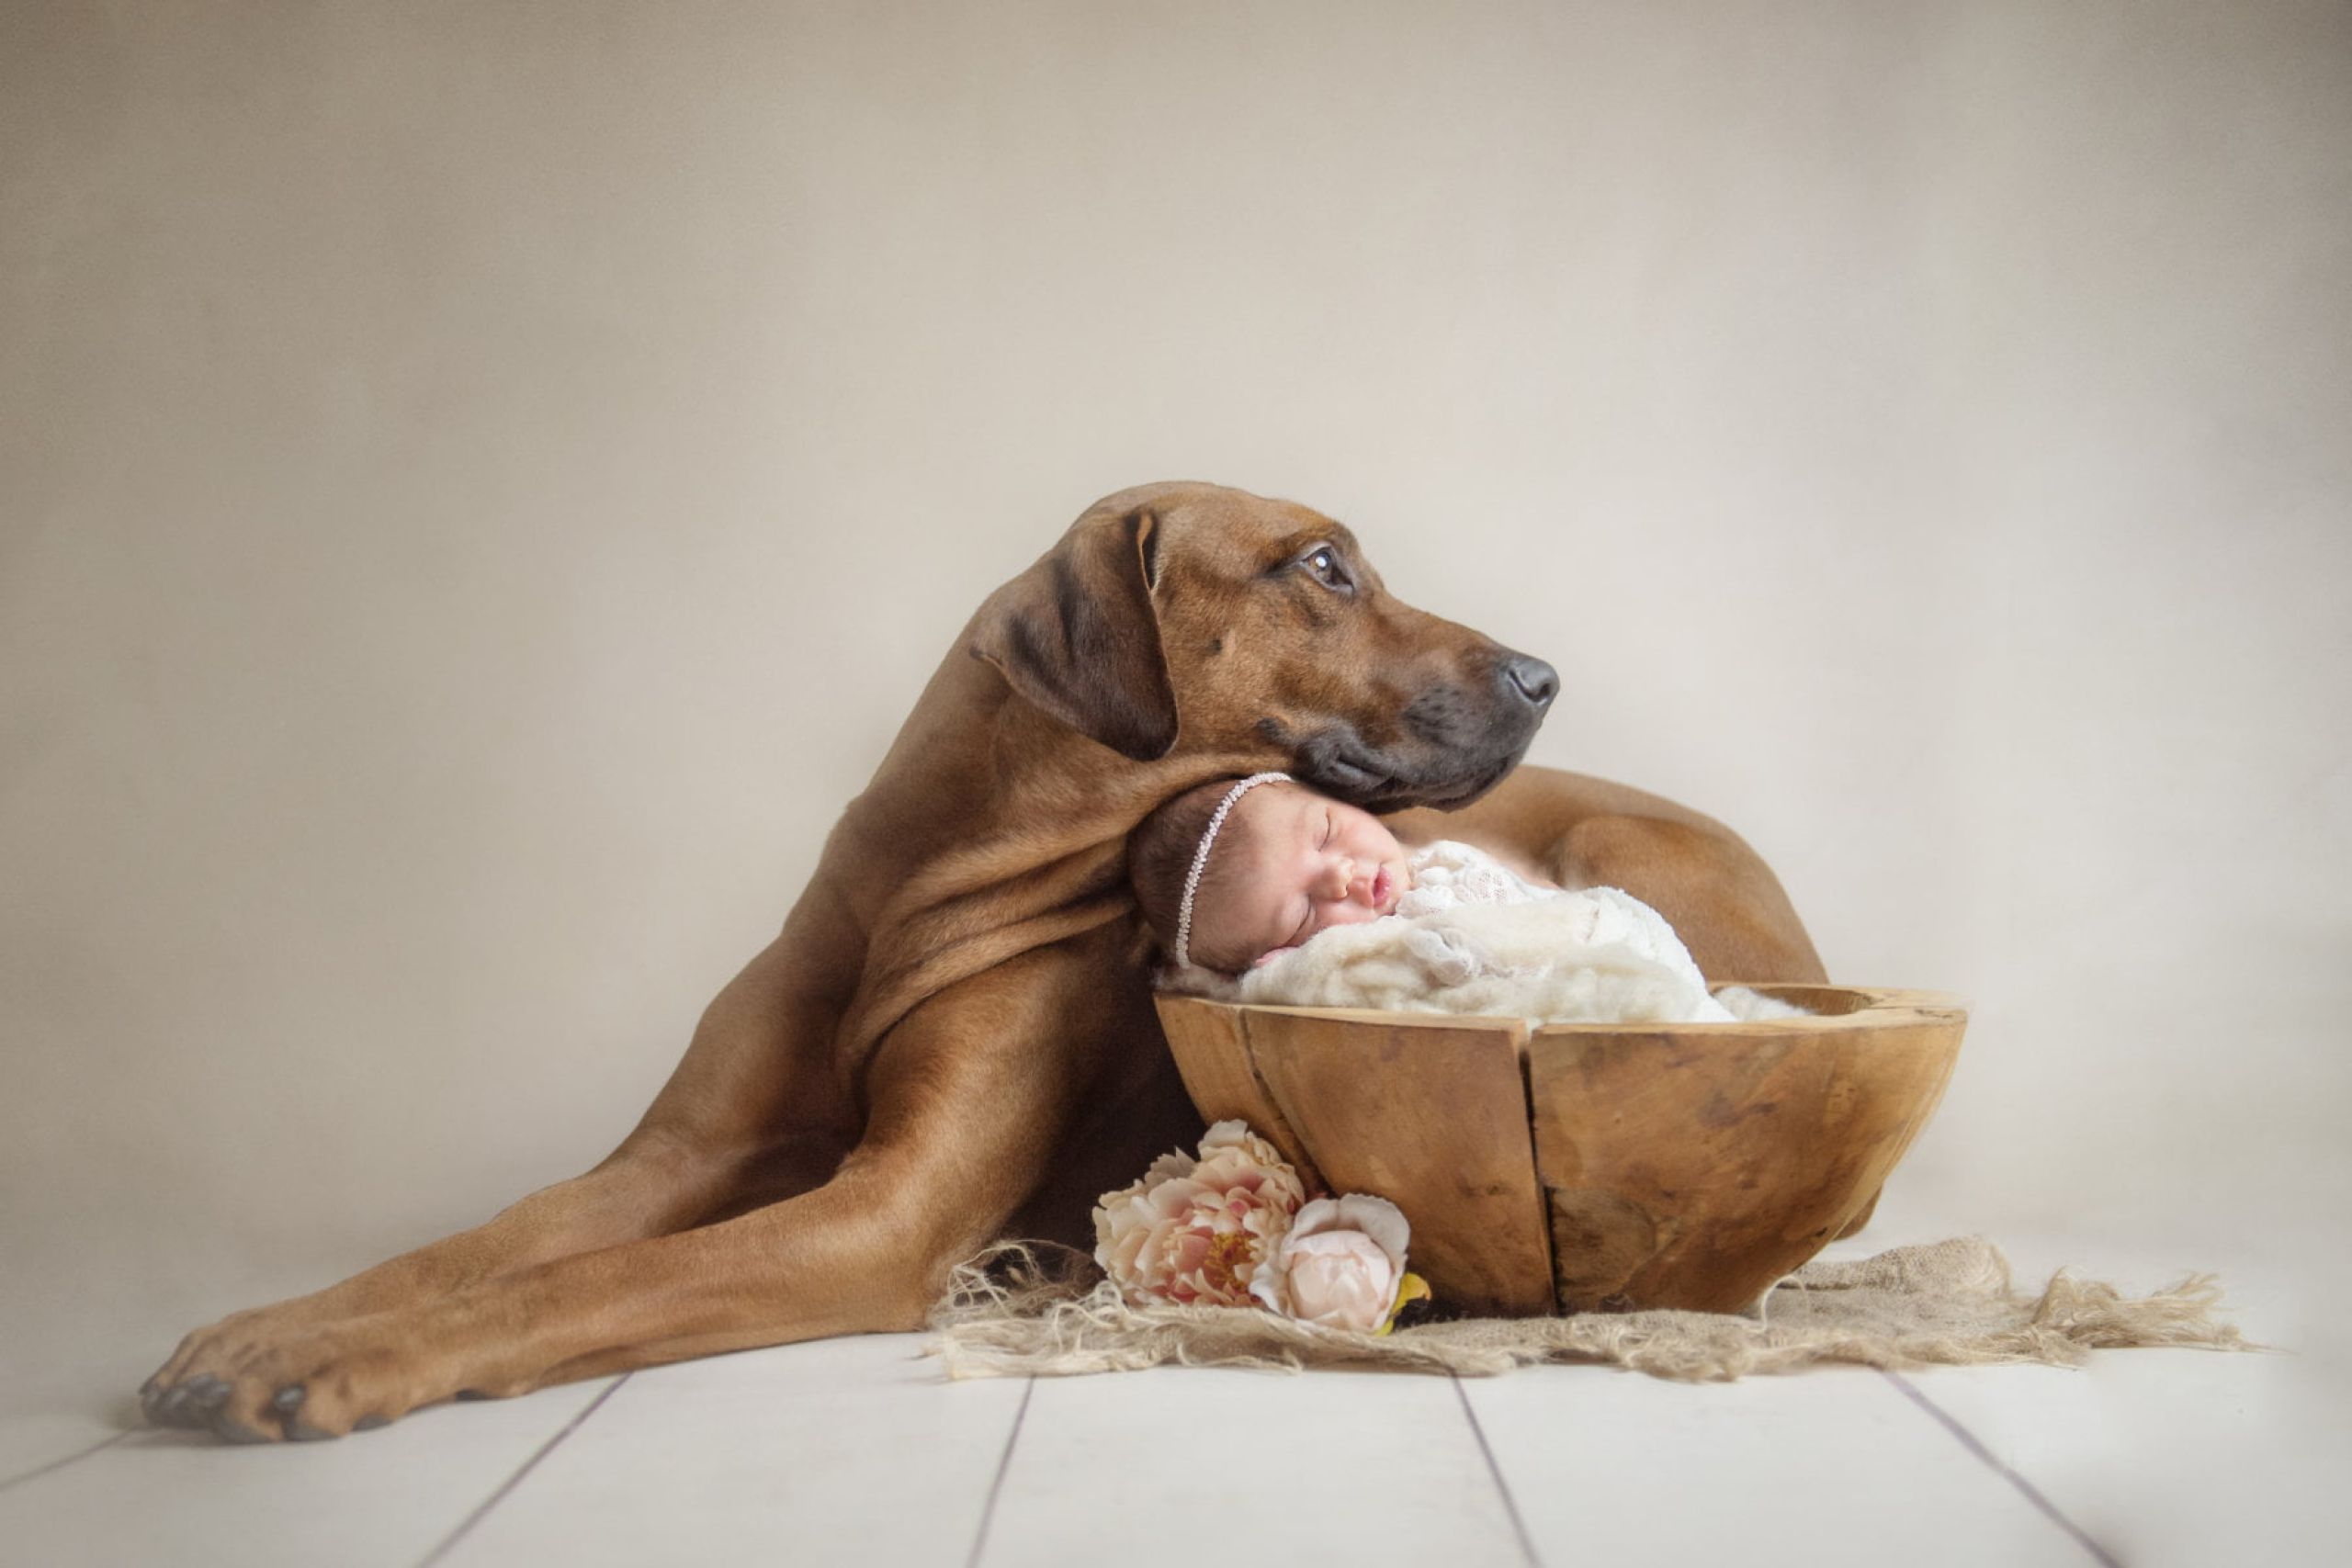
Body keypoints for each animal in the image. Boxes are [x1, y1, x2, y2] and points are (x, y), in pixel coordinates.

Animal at [137, 481, 1825, 1448]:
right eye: (1324, 567)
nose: (1543, 675)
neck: (922, 888)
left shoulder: (881, 1212)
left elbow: (590, 1281)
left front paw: (343, 1361)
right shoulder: (677, 1154)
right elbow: (497, 1243)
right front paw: (277, 1326)